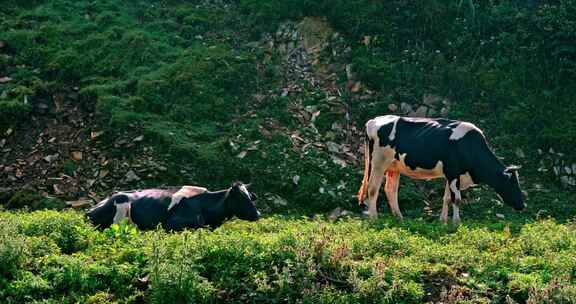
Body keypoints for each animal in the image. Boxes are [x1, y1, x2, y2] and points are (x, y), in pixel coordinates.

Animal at [358, 115, 524, 224]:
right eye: (512, 184)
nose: (523, 205)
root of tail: (373, 121)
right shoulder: (453, 172)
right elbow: (456, 199)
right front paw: (456, 222)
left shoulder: (452, 175)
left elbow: (447, 198)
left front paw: (443, 221)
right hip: (378, 163)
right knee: (372, 188)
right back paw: (374, 218)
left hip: (394, 167)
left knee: (390, 190)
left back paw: (399, 217)